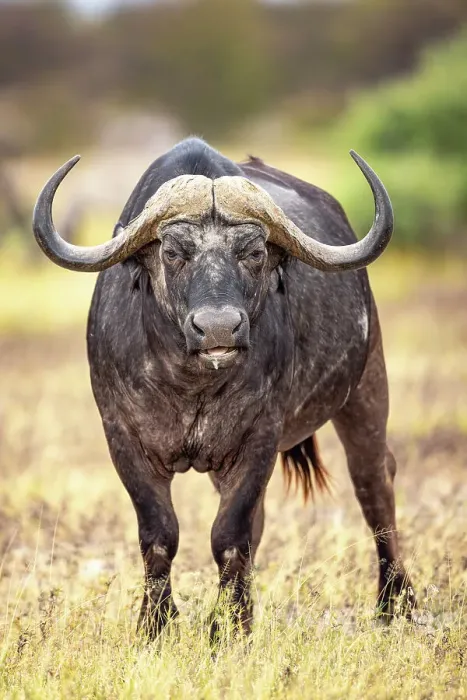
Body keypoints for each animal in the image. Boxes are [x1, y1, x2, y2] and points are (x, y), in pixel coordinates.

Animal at [32, 138, 416, 641]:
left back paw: (395, 604)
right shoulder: (122, 437)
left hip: (367, 387)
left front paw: (229, 628)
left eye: (253, 252)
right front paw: (157, 625)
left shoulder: (259, 438)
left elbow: (230, 535)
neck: (191, 383)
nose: (218, 328)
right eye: (173, 252)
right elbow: (160, 533)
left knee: (374, 484)